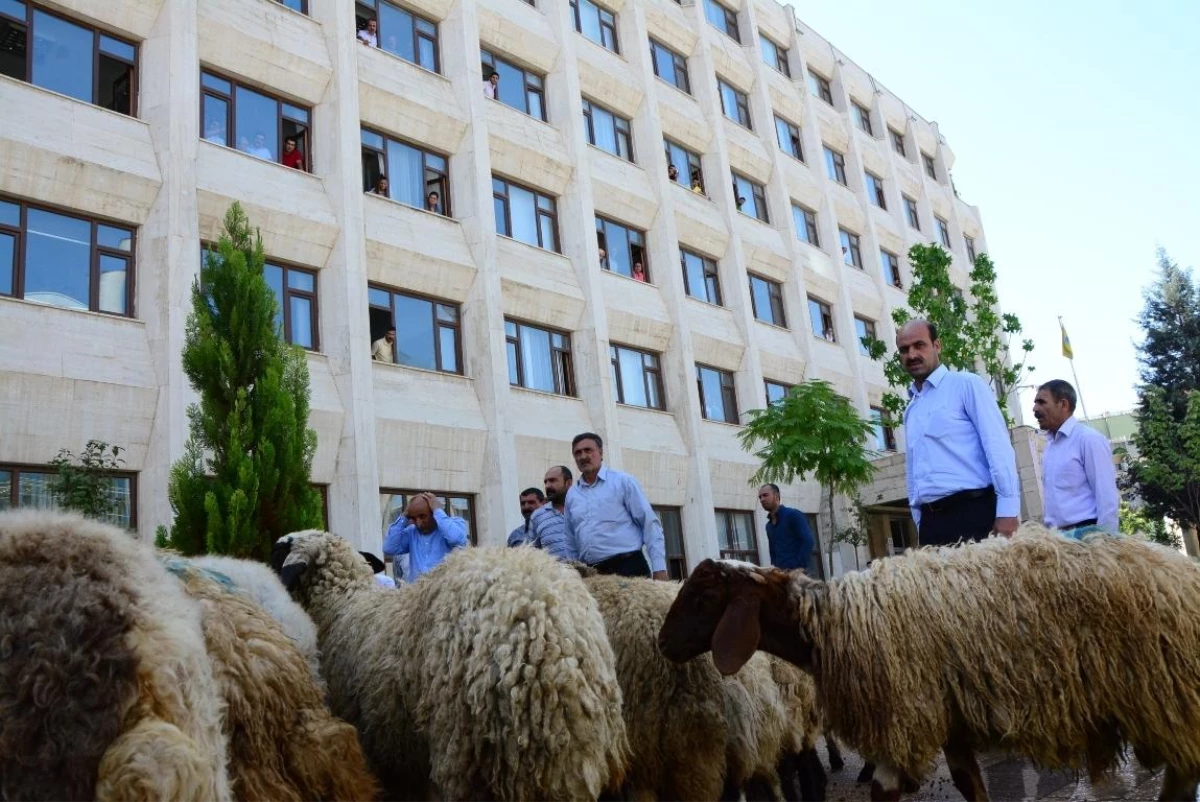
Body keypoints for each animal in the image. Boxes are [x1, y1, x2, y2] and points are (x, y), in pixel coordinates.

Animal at [662, 525, 1200, 802]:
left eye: (705, 596)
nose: (664, 644)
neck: (829, 621)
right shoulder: (948, 714)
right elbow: (969, 783)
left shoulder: (904, 714)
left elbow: (884, 791)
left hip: (1166, 695)